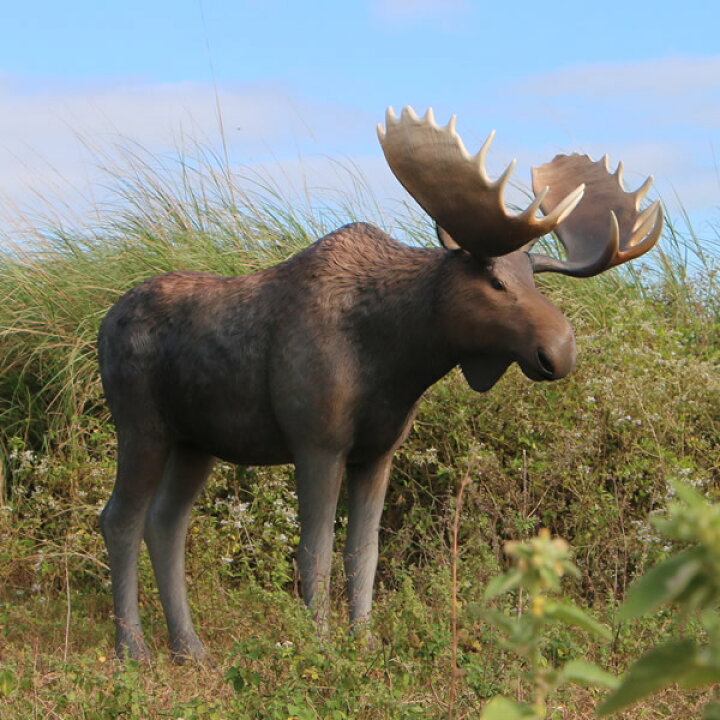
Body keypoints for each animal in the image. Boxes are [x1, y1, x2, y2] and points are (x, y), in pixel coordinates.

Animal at [98, 107, 662, 662]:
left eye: (534, 281)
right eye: (496, 282)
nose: (560, 351)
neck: (398, 358)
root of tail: (105, 322)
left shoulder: (378, 451)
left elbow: (363, 552)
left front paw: (364, 643)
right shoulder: (317, 444)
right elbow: (316, 552)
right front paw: (320, 647)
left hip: (195, 442)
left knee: (166, 524)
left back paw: (190, 649)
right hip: (142, 427)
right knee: (121, 518)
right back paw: (133, 648)